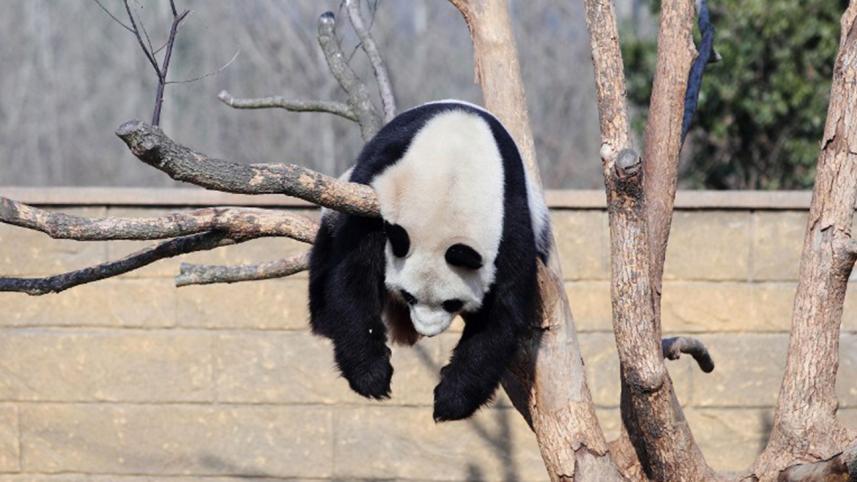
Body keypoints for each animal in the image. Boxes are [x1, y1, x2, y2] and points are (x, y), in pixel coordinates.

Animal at [308, 100, 551, 421]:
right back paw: (324, 320)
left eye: (452, 303)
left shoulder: (509, 217)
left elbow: (502, 311)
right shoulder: (378, 198)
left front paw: (451, 399)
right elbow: (352, 274)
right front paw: (372, 375)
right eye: (409, 296)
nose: (426, 329)